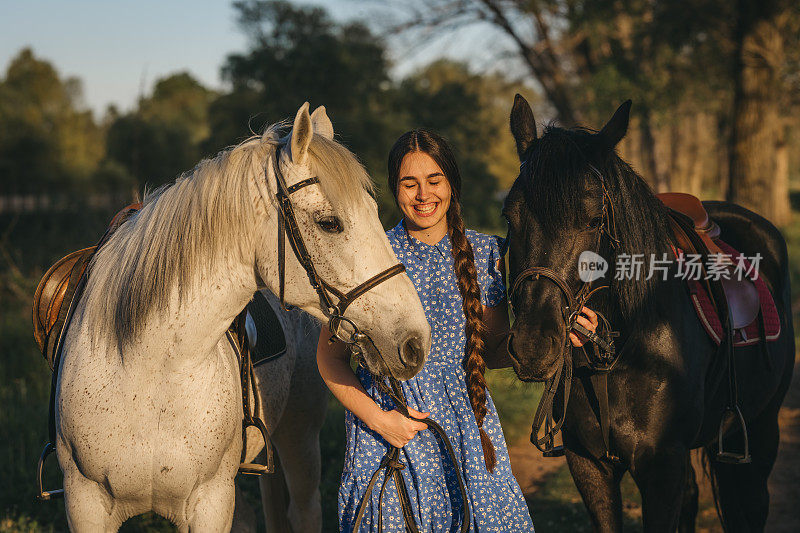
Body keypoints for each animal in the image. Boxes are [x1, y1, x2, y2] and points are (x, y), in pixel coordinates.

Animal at [54, 102, 432, 528]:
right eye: (329, 223)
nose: (415, 341)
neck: (148, 371)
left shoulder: (210, 502)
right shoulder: (85, 503)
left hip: (299, 436)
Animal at [506, 93, 792, 528]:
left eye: (594, 220)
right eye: (510, 216)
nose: (533, 345)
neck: (620, 351)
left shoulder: (662, 466)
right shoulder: (588, 465)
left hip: (761, 431)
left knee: (751, 505)